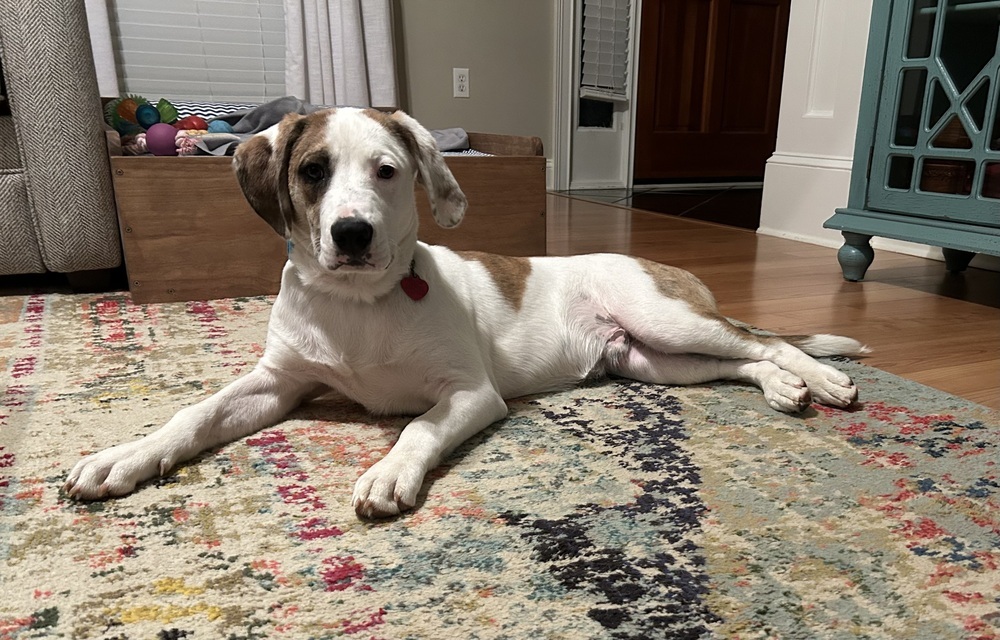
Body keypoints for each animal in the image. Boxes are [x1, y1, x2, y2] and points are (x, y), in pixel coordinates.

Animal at [64, 109, 868, 520]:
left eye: (387, 171)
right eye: (312, 171)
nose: (351, 234)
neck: (359, 304)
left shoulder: (470, 394)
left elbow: (418, 426)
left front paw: (389, 473)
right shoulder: (278, 382)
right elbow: (193, 413)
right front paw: (122, 456)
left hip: (663, 318)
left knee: (761, 337)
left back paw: (821, 379)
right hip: (651, 360)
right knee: (742, 358)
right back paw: (786, 389)